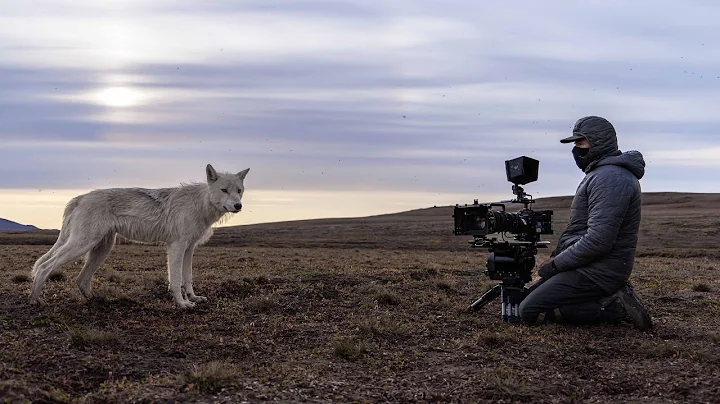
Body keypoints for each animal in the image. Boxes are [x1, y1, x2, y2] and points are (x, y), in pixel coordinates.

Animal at [29, 164, 249, 309]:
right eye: (224, 190)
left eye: (239, 191)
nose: (238, 206)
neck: (201, 204)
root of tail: (79, 197)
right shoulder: (176, 247)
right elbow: (176, 280)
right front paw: (181, 303)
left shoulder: (189, 249)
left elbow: (188, 278)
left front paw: (193, 298)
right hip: (82, 246)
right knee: (45, 267)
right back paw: (35, 299)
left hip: (101, 249)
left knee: (81, 279)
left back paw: (96, 300)